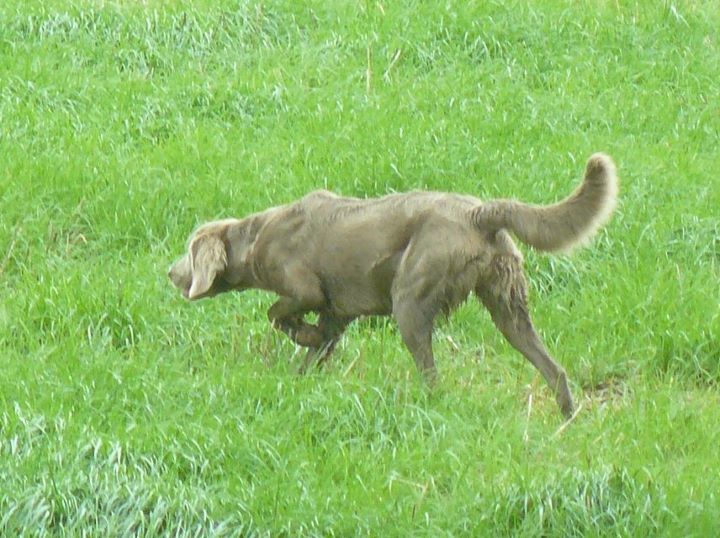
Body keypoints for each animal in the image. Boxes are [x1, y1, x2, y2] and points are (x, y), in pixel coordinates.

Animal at [169, 154, 618, 418]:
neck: (257, 237)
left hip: (411, 299)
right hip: (508, 303)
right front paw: (301, 376)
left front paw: (302, 334)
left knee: (432, 373)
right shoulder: (337, 315)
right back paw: (567, 417)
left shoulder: (307, 292)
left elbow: (276, 312)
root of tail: (478, 213)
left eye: (189, 252)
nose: (171, 273)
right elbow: (316, 350)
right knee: (553, 369)